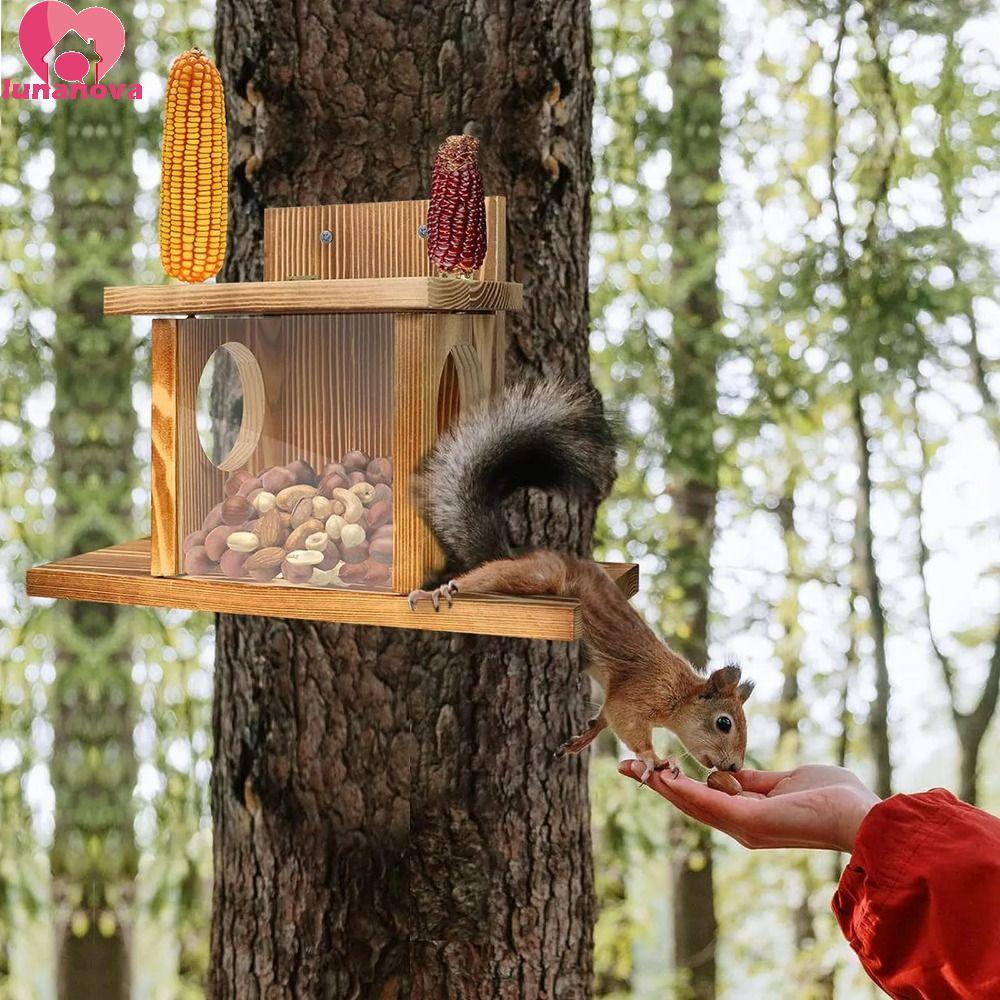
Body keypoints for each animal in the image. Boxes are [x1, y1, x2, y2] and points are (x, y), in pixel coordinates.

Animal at [407, 380, 754, 781]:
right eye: (724, 722)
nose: (735, 766)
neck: (680, 692)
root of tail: (522, 553)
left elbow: (605, 716)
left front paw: (584, 737)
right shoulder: (641, 692)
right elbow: (625, 719)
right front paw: (655, 759)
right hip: (540, 575)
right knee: (488, 575)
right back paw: (440, 590)